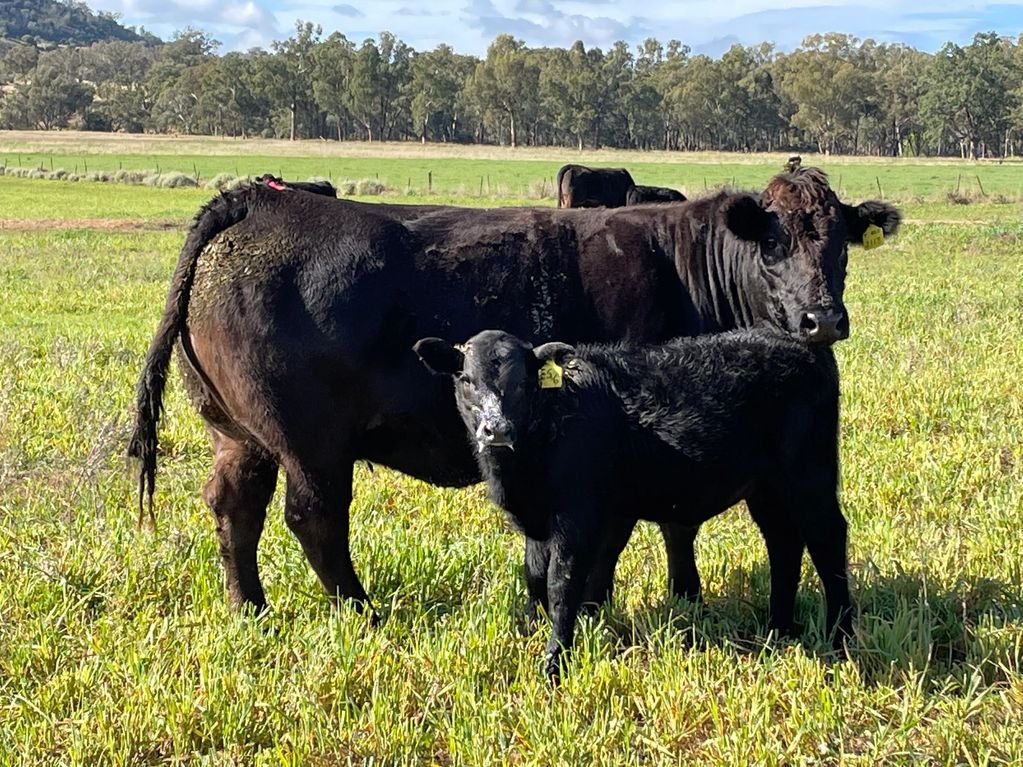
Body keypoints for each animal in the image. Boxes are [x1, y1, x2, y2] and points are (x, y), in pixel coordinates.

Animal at [411, 327, 851, 683]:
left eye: (524, 383)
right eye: (466, 379)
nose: (497, 429)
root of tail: (799, 343)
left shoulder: (577, 518)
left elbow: (561, 585)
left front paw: (555, 663)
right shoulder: (539, 523)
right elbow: (534, 577)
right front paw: (533, 632)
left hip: (810, 474)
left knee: (828, 539)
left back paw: (840, 636)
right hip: (767, 489)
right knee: (784, 543)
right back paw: (779, 626)